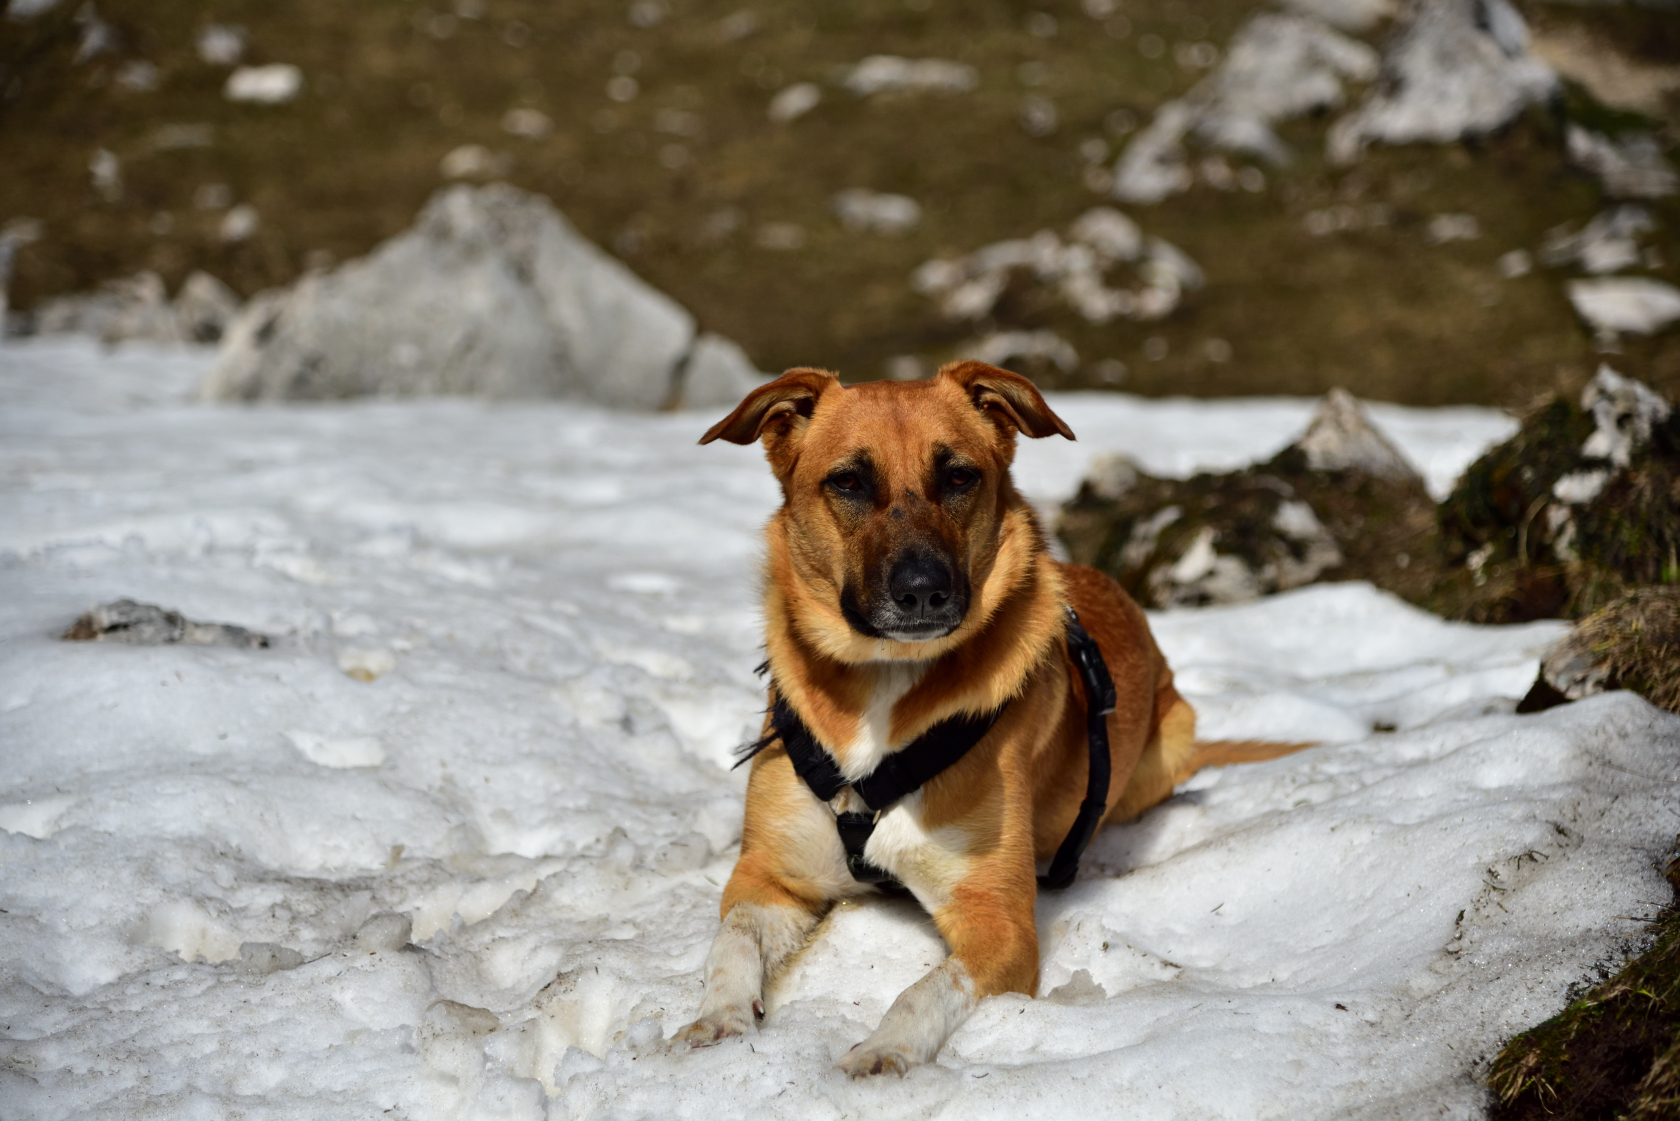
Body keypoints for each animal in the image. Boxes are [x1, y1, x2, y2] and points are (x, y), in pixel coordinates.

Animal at [672, 361, 1296, 1075]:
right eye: (849, 481)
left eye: (959, 476)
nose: (923, 591)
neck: (885, 679)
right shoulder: (768, 875)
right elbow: (732, 939)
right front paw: (715, 1018)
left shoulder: (999, 922)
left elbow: (925, 989)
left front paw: (883, 1050)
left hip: (1171, 739)